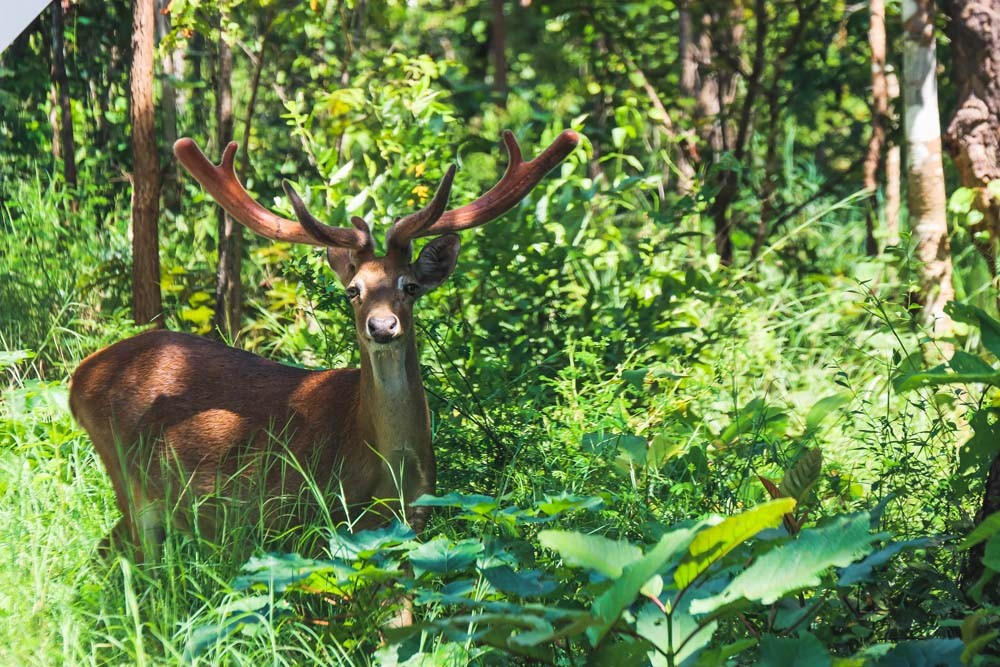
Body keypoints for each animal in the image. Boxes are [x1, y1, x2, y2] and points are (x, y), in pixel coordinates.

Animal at [70, 128, 584, 560]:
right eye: (353, 290)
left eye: (410, 286)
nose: (382, 326)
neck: (384, 469)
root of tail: (79, 377)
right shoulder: (303, 518)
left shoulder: (413, 521)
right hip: (129, 481)